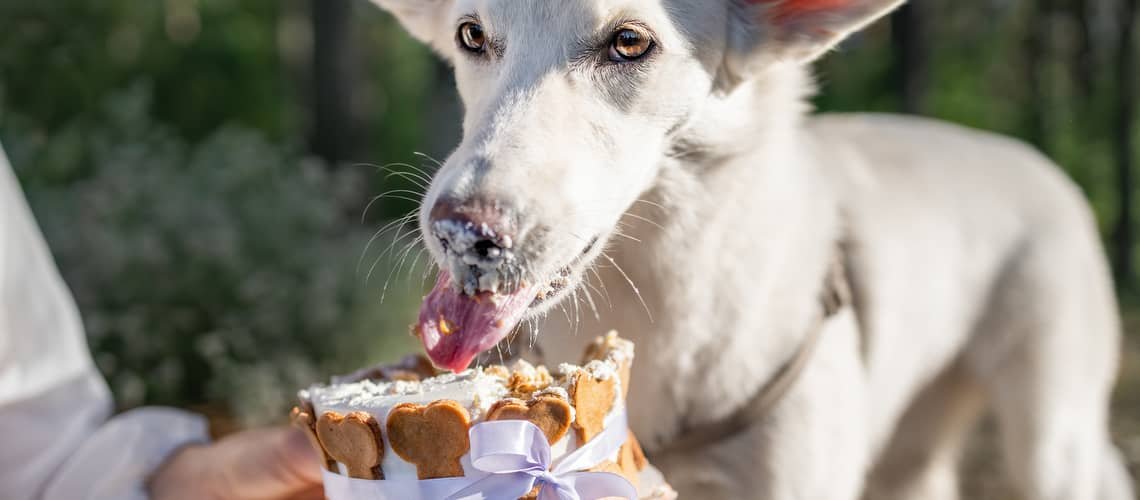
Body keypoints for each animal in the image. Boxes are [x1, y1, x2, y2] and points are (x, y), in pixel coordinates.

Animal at [364, 1, 1130, 498]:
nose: (461, 233)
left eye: (630, 42)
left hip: (1050, 440)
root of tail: (1039, 163)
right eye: (471, 34)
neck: (662, 304)